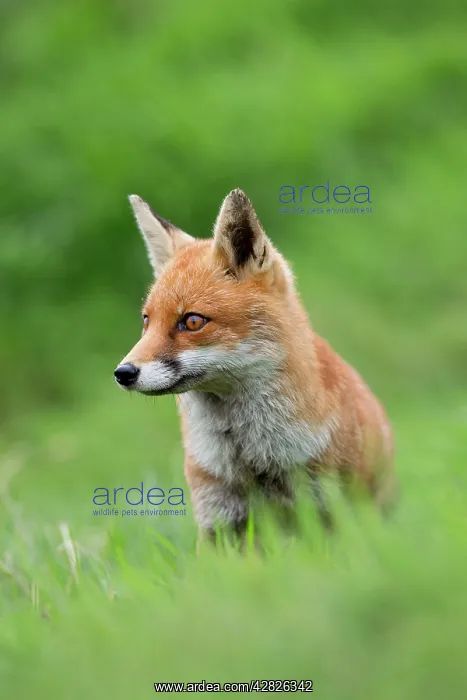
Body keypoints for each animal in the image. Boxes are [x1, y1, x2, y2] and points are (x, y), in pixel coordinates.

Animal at [115, 188, 395, 542]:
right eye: (146, 321)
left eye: (192, 321)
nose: (123, 373)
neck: (253, 458)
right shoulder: (217, 518)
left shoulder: (331, 511)